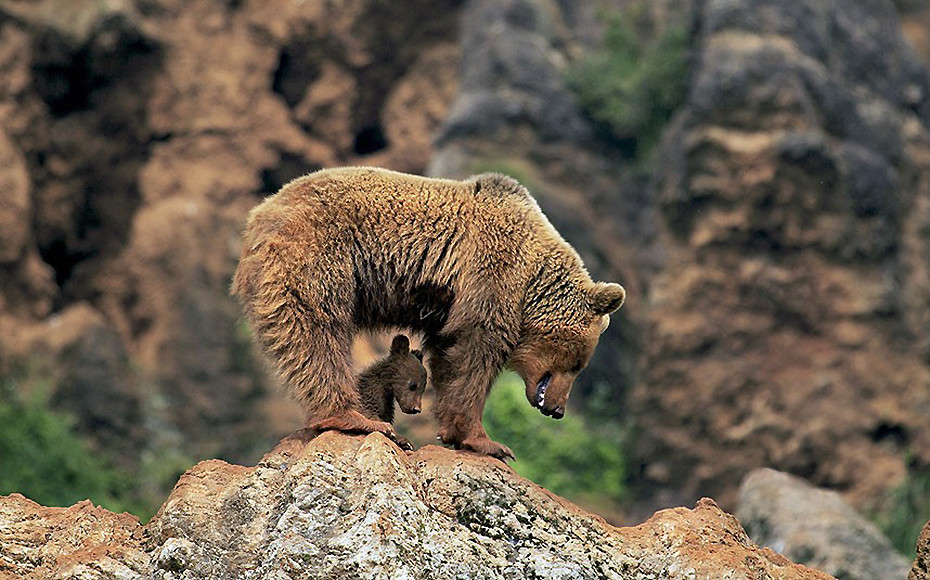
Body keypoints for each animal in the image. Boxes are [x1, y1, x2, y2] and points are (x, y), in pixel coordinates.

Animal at [231, 165, 624, 460]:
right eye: (578, 363)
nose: (557, 409)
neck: (530, 284)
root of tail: (258, 217)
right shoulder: (491, 275)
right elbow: (476, 355)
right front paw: (490, 442)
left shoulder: (447, 306)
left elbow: (450, 356)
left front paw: (454, 432)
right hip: (320, 258)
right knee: (316, 333)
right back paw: (356, 417)